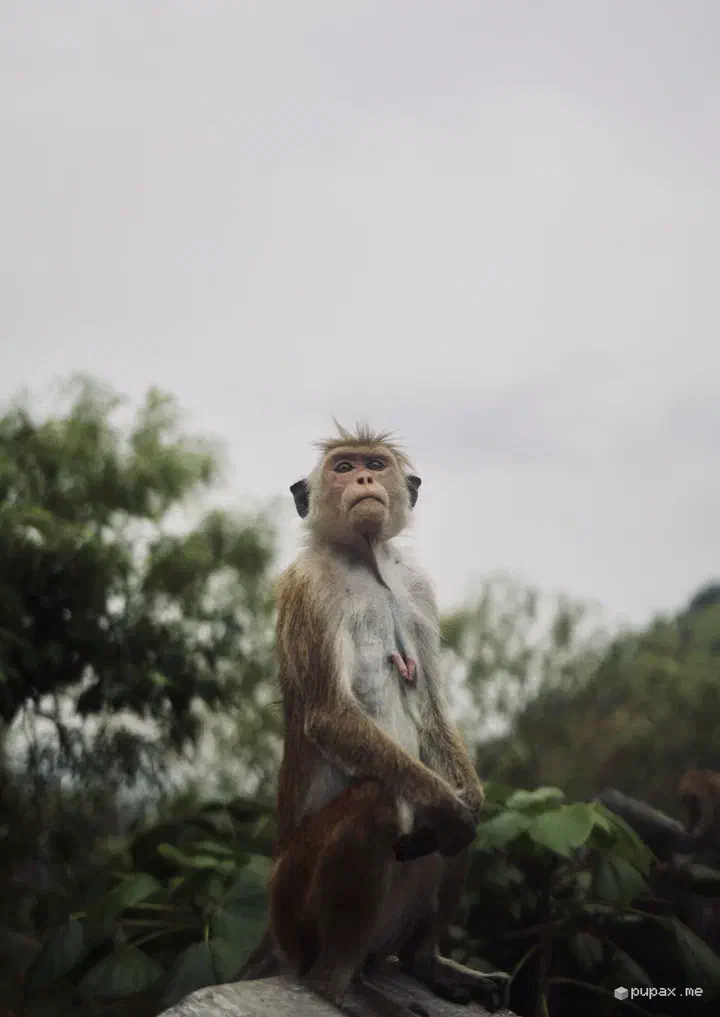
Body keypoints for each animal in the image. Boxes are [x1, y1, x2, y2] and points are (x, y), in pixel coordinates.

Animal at [241, 423, 506, 1017]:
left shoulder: (418, 591)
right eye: (343, 467)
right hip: (293, 905)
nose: (363, 480)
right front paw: (446, 805)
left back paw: (425, 963)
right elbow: (329, 714)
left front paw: (468, 798)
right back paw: (335, 985)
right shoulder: (307, 588)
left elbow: (432, 710)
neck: (368, 566)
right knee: (376, 800)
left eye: (374, 463)